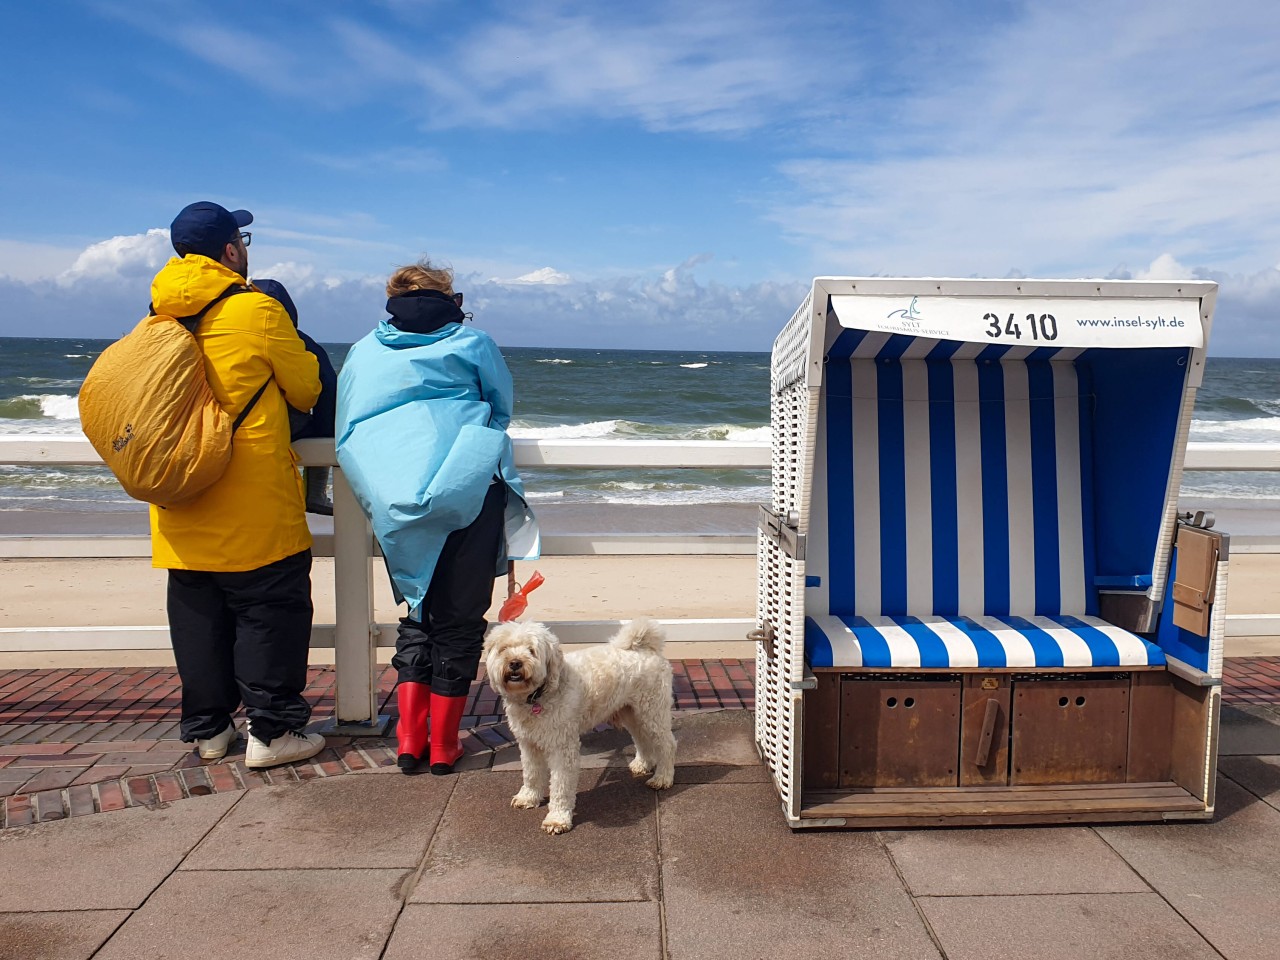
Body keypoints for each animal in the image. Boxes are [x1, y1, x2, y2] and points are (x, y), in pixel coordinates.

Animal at [481, 616, 680, 834]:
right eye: (504, 649)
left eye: (532, 650)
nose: (515, 663)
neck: (537, 696)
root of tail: (645, 647)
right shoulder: (528, 743)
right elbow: (531, 773)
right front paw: (529, 797)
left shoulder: (562, 747)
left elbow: (560, 785)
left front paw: (557, 819)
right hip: (631, 713)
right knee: (642, 739)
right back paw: (641, 764)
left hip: (653, 710)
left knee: (667, 744)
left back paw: (663, 778)